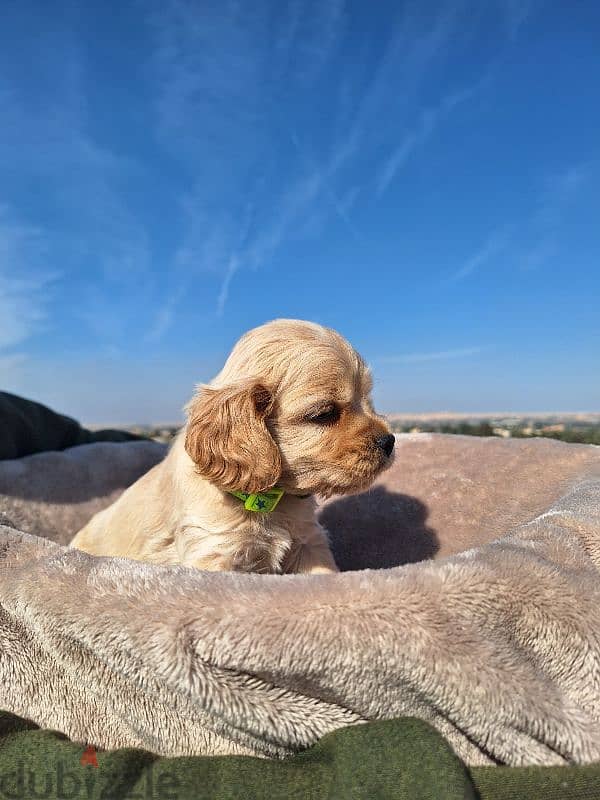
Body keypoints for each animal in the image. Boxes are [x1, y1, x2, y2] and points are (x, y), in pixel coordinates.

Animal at [70, 318, 396, 576]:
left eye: (367, 400)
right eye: (324, 414)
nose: (389, 441)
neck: (270, 501)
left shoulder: (309, 542)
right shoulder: (215, 551)